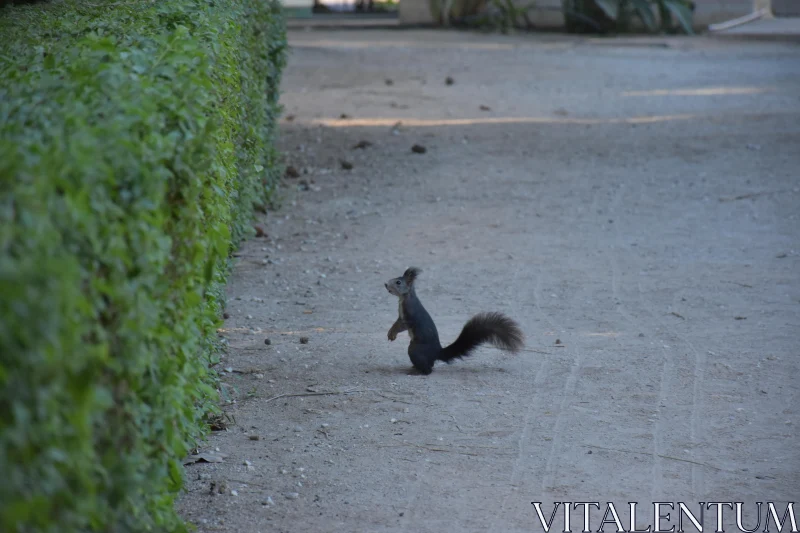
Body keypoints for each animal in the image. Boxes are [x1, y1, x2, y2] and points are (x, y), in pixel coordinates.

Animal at [382, 266, 520, 374]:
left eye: (398, 282)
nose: (385, 284)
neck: (405, 298)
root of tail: (437, 352)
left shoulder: (409, 316)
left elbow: (402, 326)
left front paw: (392, 334)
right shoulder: (400, 316)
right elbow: (396, 323)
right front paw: (390, 332)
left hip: (415, 349)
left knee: (429, 370)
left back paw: (416, 371)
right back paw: (414, 367)